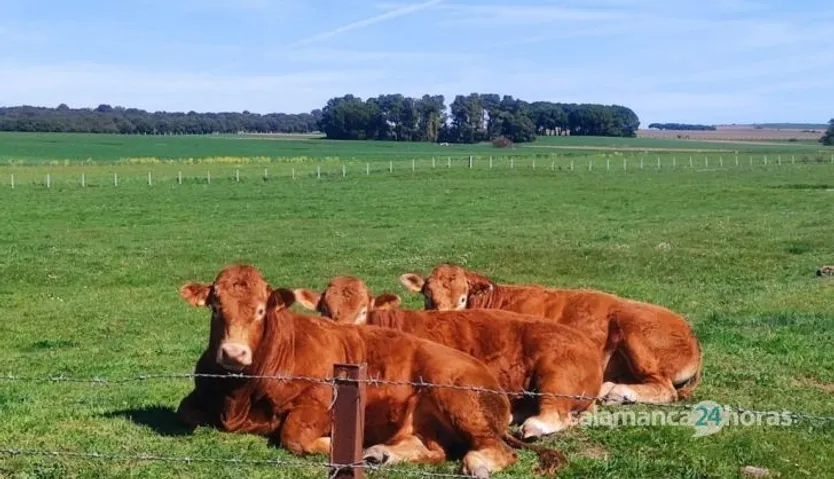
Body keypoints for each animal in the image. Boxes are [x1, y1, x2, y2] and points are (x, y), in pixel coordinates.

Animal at [176, 264, 565, 478]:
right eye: (215, 307)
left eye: (259, 311)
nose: (234, 353)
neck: (241, 393)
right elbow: (185, 412)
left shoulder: (320, 402)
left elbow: (293, 435)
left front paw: (339, 444)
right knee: (433, 449)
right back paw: (380, 453)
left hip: (456, 396)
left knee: (496, 452)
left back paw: (476, 464)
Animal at [398, 264, 702, 406]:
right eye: (427, 296)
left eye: (462, 299)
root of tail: (691, 334)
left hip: (636, 334)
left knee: (665, 389)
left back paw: (616, 391)